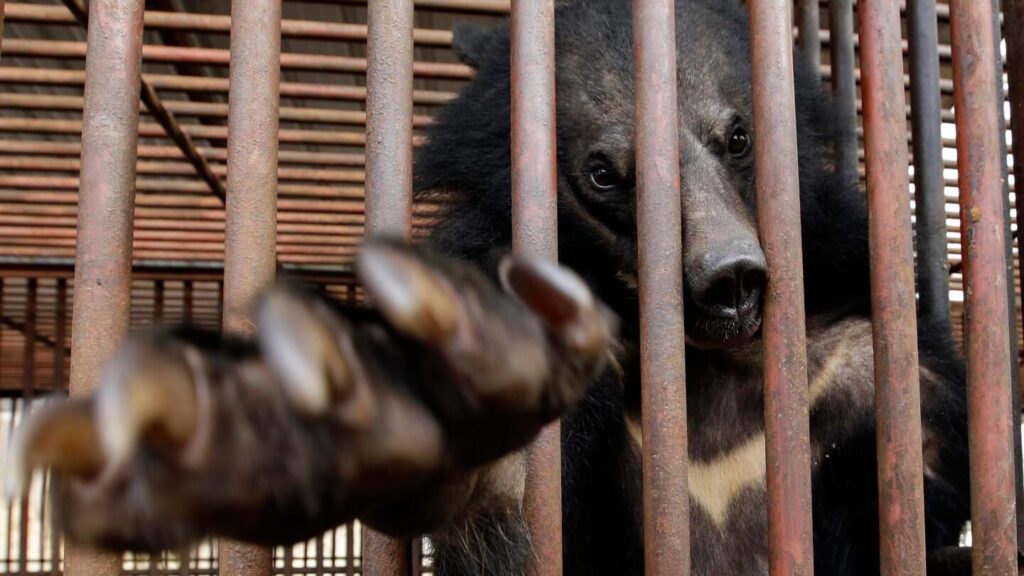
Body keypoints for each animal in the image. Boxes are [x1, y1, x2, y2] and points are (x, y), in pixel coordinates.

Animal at [5, 0, 970, 575]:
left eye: (738, 136)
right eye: (604, 174)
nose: (729, 281)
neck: (695, 365)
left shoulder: (858, 348)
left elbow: (923, 475)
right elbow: (499, 497)